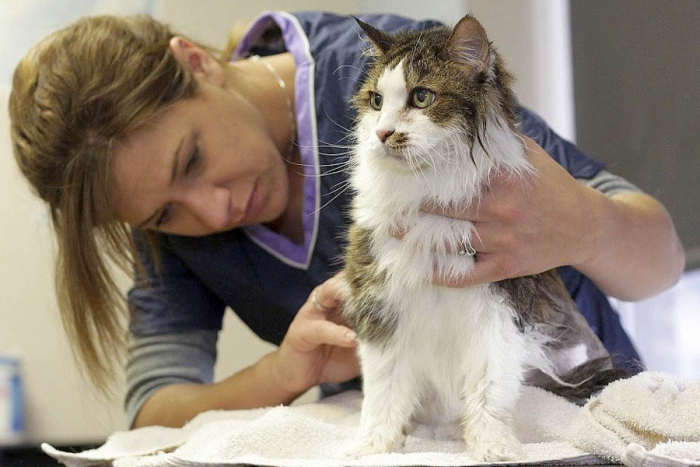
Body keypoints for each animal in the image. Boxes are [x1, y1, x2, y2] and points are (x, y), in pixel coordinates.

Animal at [344, 13, 624, 460]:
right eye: (375, 102)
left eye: (422, 97)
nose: (382, 134)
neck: (430, 191)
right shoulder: (381, 305)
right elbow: (383, 394)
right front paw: (373, 447)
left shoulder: (501, 311)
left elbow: (489, 391)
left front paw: (493, 447)